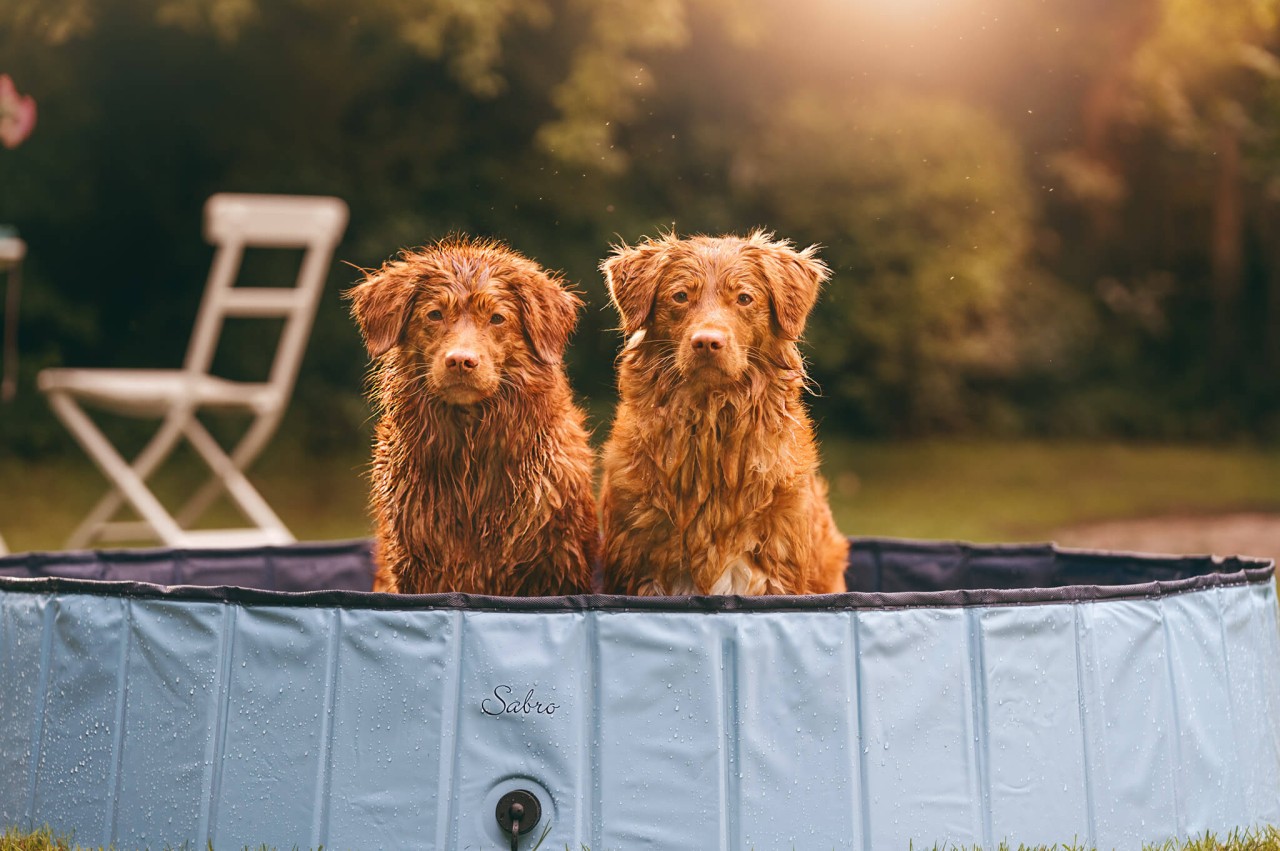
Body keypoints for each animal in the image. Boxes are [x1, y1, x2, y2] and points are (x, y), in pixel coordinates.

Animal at [599, 229, 849, 593]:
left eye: (744, 298)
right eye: (680, 296)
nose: (707, 342)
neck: (711, 417)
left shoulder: (778, 568)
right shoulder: (637, 564)